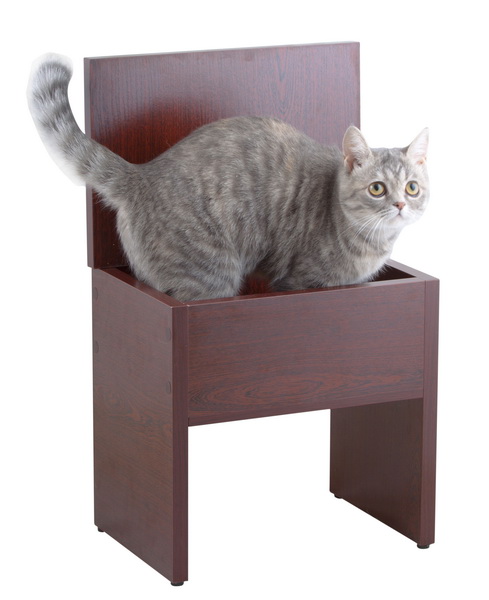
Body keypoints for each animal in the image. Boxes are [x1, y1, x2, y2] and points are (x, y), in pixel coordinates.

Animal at [27, 53, 429, 302]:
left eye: (412, 187)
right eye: (377, 188)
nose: (399, 204)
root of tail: (142, 173)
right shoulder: (298, 281)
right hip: (209, 276)